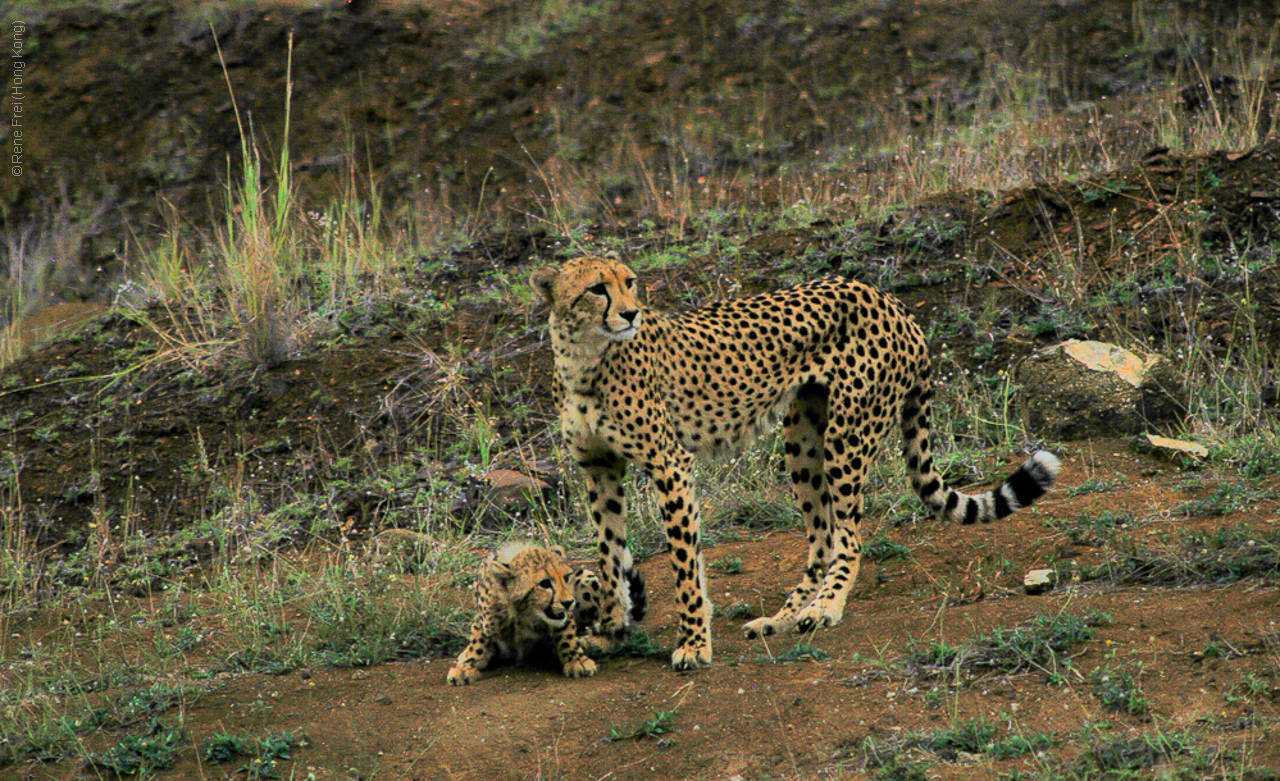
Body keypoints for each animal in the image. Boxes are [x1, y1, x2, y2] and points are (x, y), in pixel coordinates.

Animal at [529, 256, 1059, 670]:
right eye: (597, 288)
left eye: (630, 281)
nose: (631, 312)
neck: (583, 358)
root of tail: (887, 298)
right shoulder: (599, 468)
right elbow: (610, 553)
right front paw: (611, 630)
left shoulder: (669, 464)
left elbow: (683, 564)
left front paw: (694, 644)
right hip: (801, 437)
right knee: (821, 539)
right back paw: (783, 619)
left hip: (848, 434)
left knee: (849, 536)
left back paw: (826, 607)